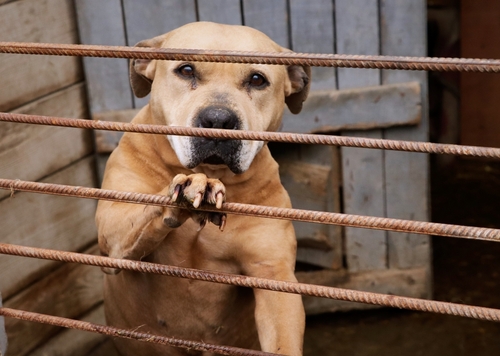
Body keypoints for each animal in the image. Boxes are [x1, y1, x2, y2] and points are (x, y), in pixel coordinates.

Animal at [94, 22, 308, 356]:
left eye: (257, 79)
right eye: (186, 70)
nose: (218, 119)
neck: (213, 170)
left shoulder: (273, 277)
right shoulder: (112, 238)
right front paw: (192, 187)